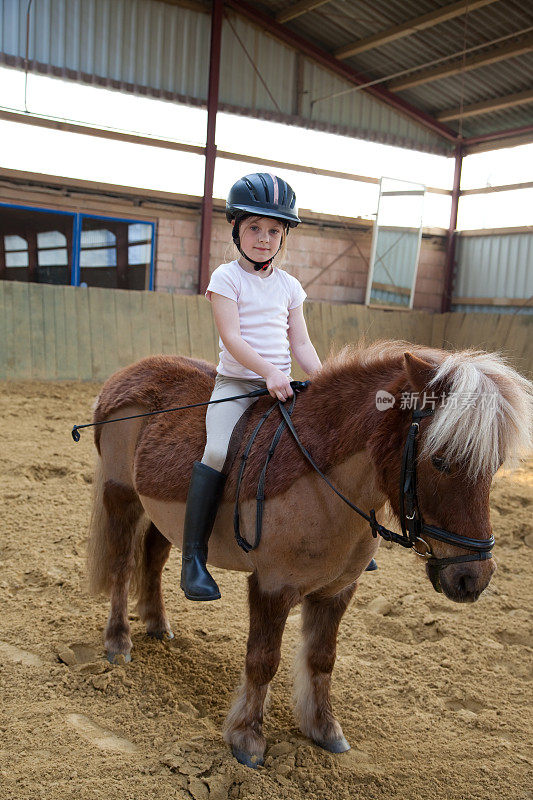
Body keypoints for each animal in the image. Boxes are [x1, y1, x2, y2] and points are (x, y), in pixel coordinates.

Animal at [85, 342, 528, 768]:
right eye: (440, 461)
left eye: (494, 467)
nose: (473, 579)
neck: (324, 480)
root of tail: (124, 376)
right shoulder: (272, 586)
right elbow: (263, 660)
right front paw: (246, 738)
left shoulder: (337, 591)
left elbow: (322, 659)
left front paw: (323, 729)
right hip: (122, 496)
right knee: (122, 567)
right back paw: (118, 642)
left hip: (162, 513)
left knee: (153, 557)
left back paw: (157, 624)